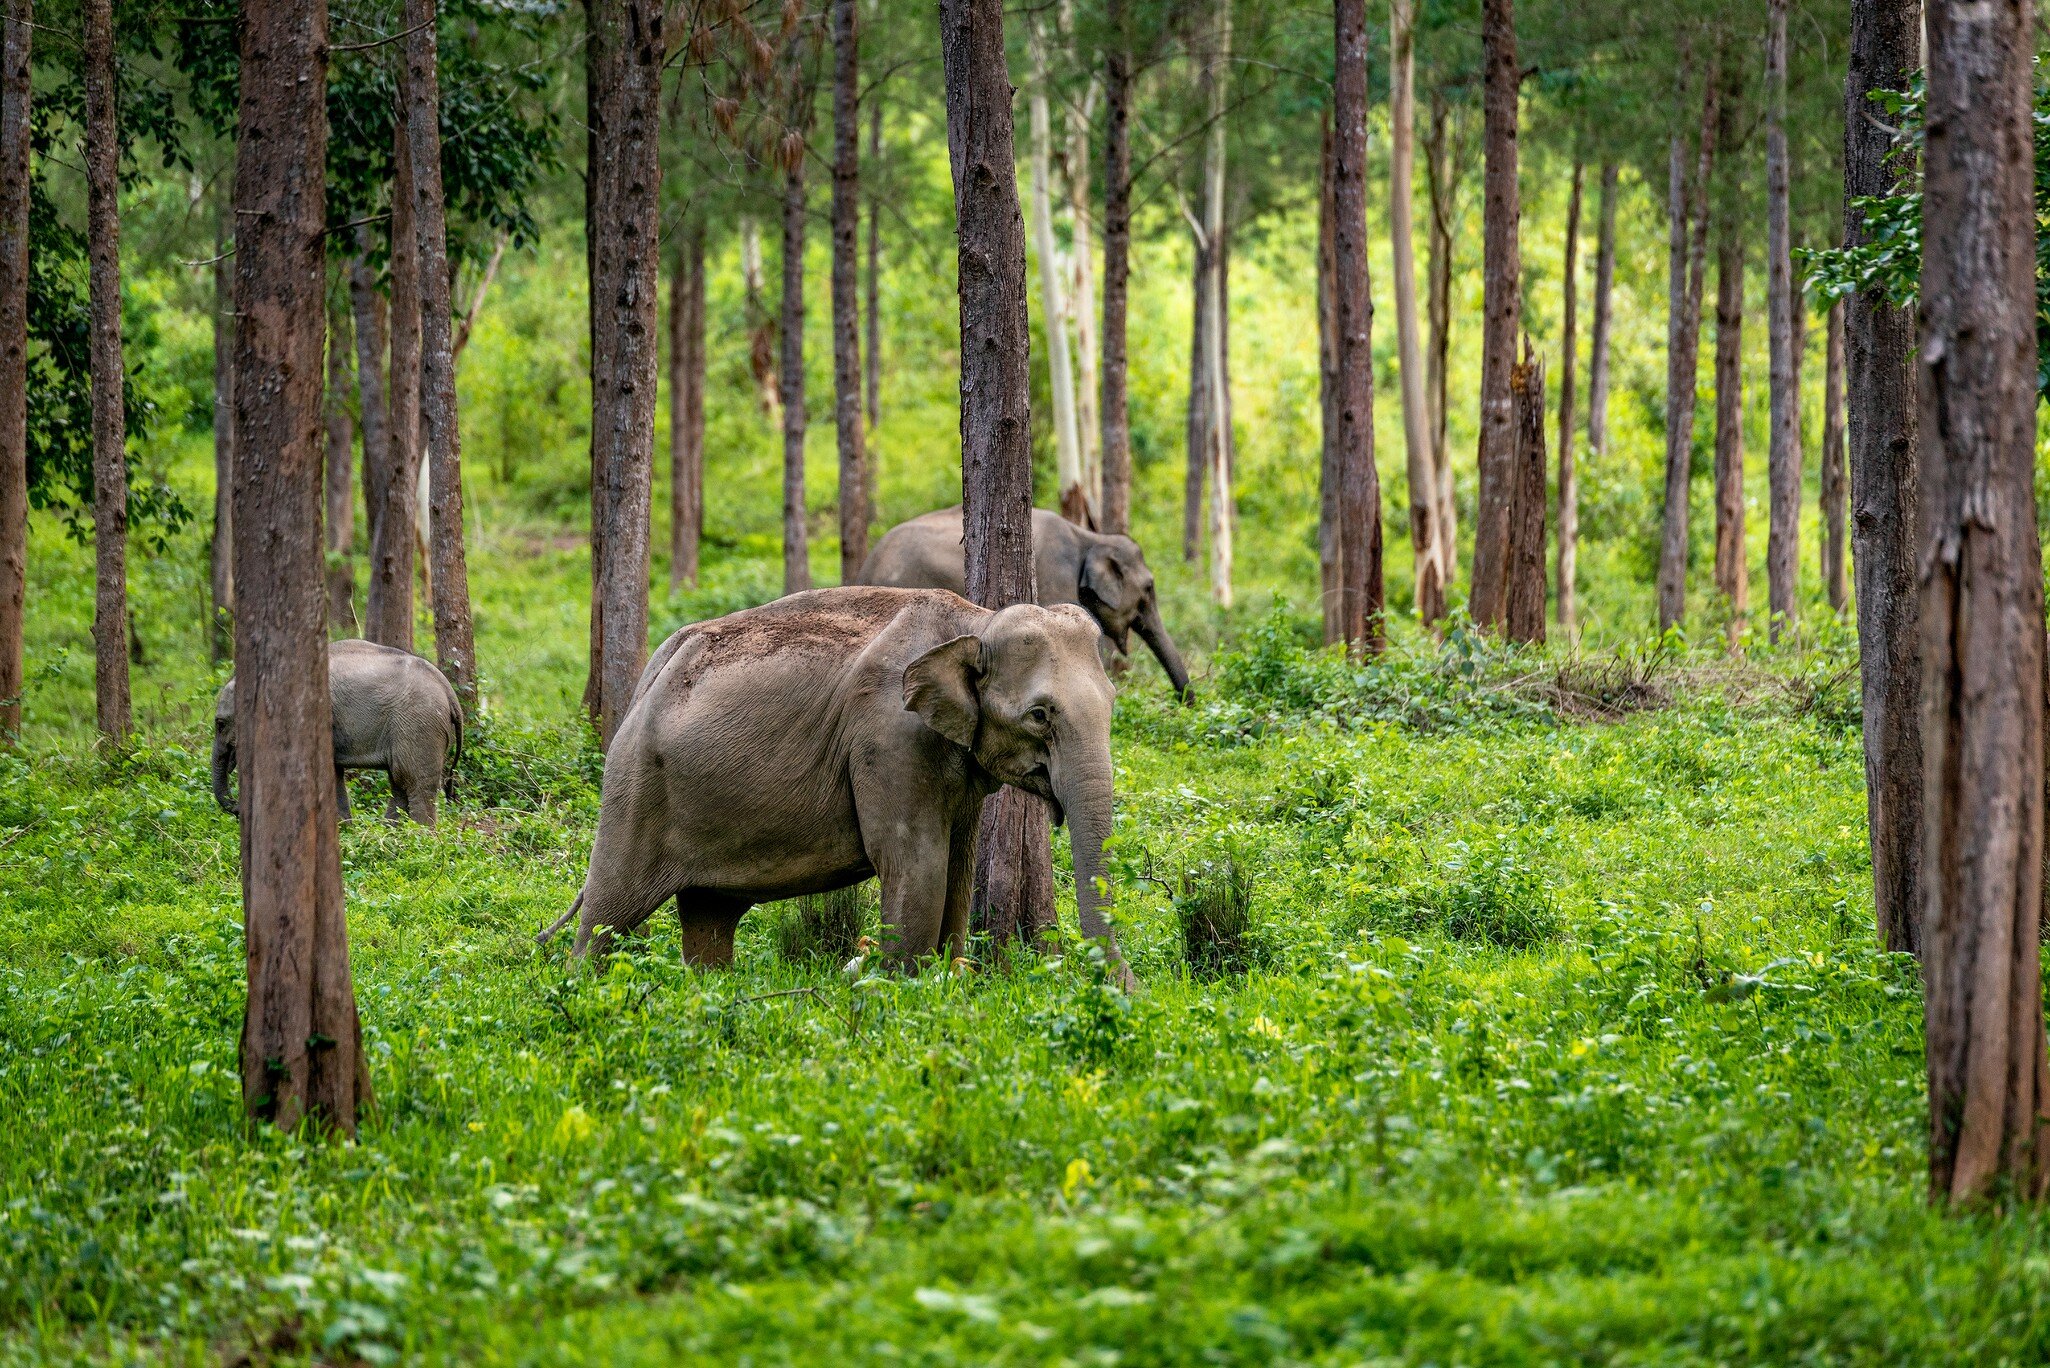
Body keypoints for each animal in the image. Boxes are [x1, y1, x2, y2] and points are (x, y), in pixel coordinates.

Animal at [213, 639, 464, 827]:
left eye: (220, 724)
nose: (236, 808)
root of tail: (449, 692)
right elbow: (333, 771)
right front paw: (343, 830)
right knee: (399, 781)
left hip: (418, 725)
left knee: (414, 782)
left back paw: (419, 837)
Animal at [536, 586, 1126, 979]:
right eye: (1040, 716)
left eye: (1114, 702)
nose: (1123, 989)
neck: (975, 622)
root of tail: (652, 671)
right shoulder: (889, 739)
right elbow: (915, 861)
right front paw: (905, 989)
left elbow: (957, 866)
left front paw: (947, 976)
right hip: (633, 788)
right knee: (608, 914)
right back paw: (581, 988)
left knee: (708, 917)